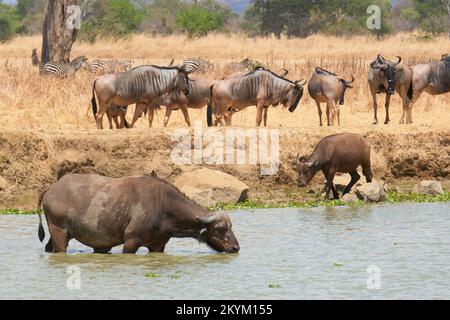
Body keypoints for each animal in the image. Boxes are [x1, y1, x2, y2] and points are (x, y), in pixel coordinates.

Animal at [38, 174, 241, 254]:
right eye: (220, 229)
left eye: (231, 227)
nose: (235, 247)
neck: (163, 206)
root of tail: (51, 189)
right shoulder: (130, 242)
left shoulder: (158, 246)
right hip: (59, 232)